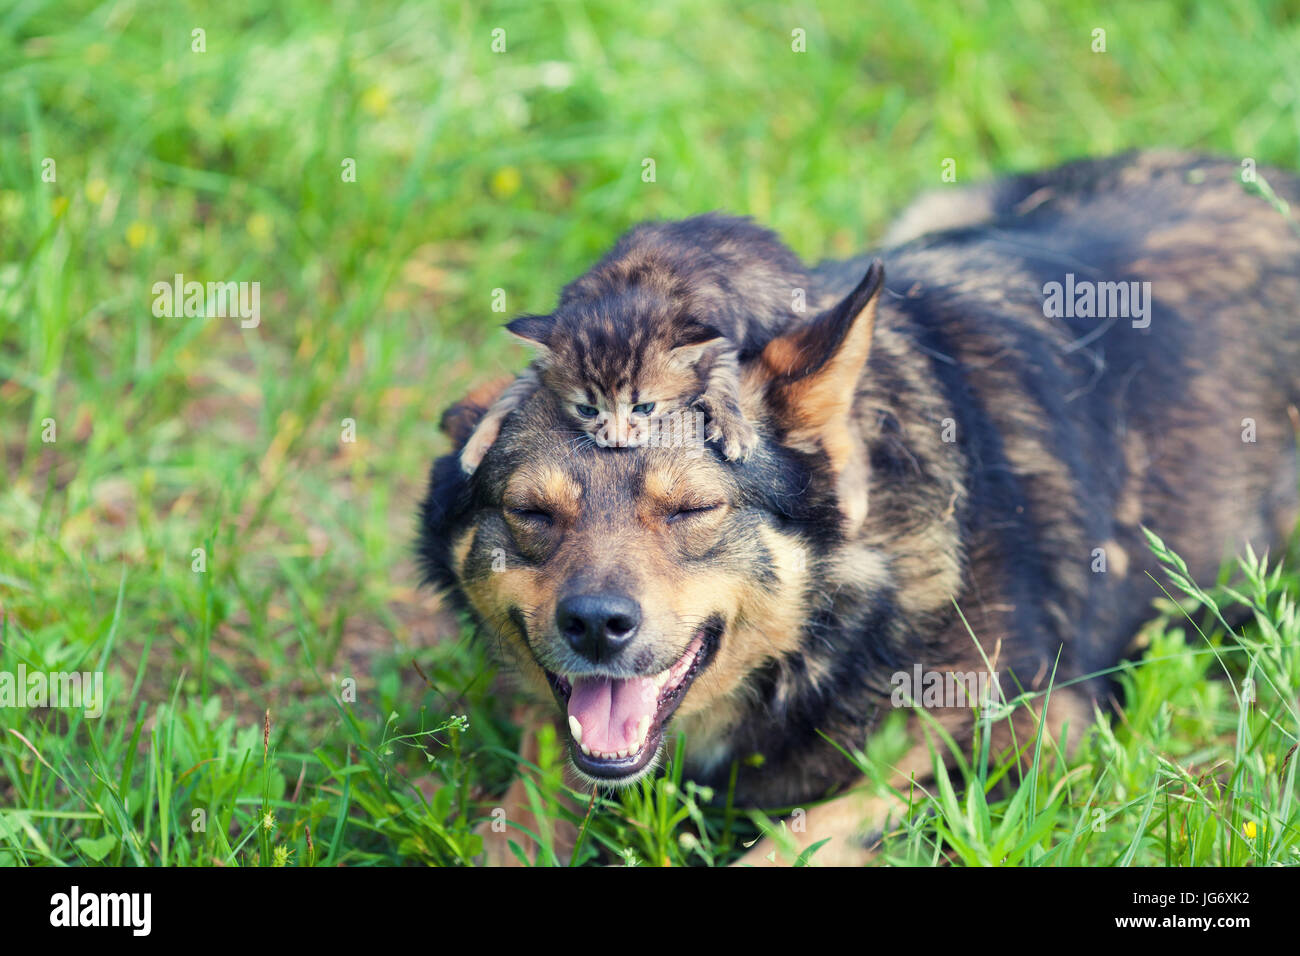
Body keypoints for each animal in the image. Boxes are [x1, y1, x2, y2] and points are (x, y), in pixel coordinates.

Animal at [460, 214, 811, 473]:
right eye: (586, 410)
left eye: (645, 408)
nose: (616, 440)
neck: (628, 287)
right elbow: (516, 387)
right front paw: (478, 441)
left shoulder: (719, 331)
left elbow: (723, 376)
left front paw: (731, 424)